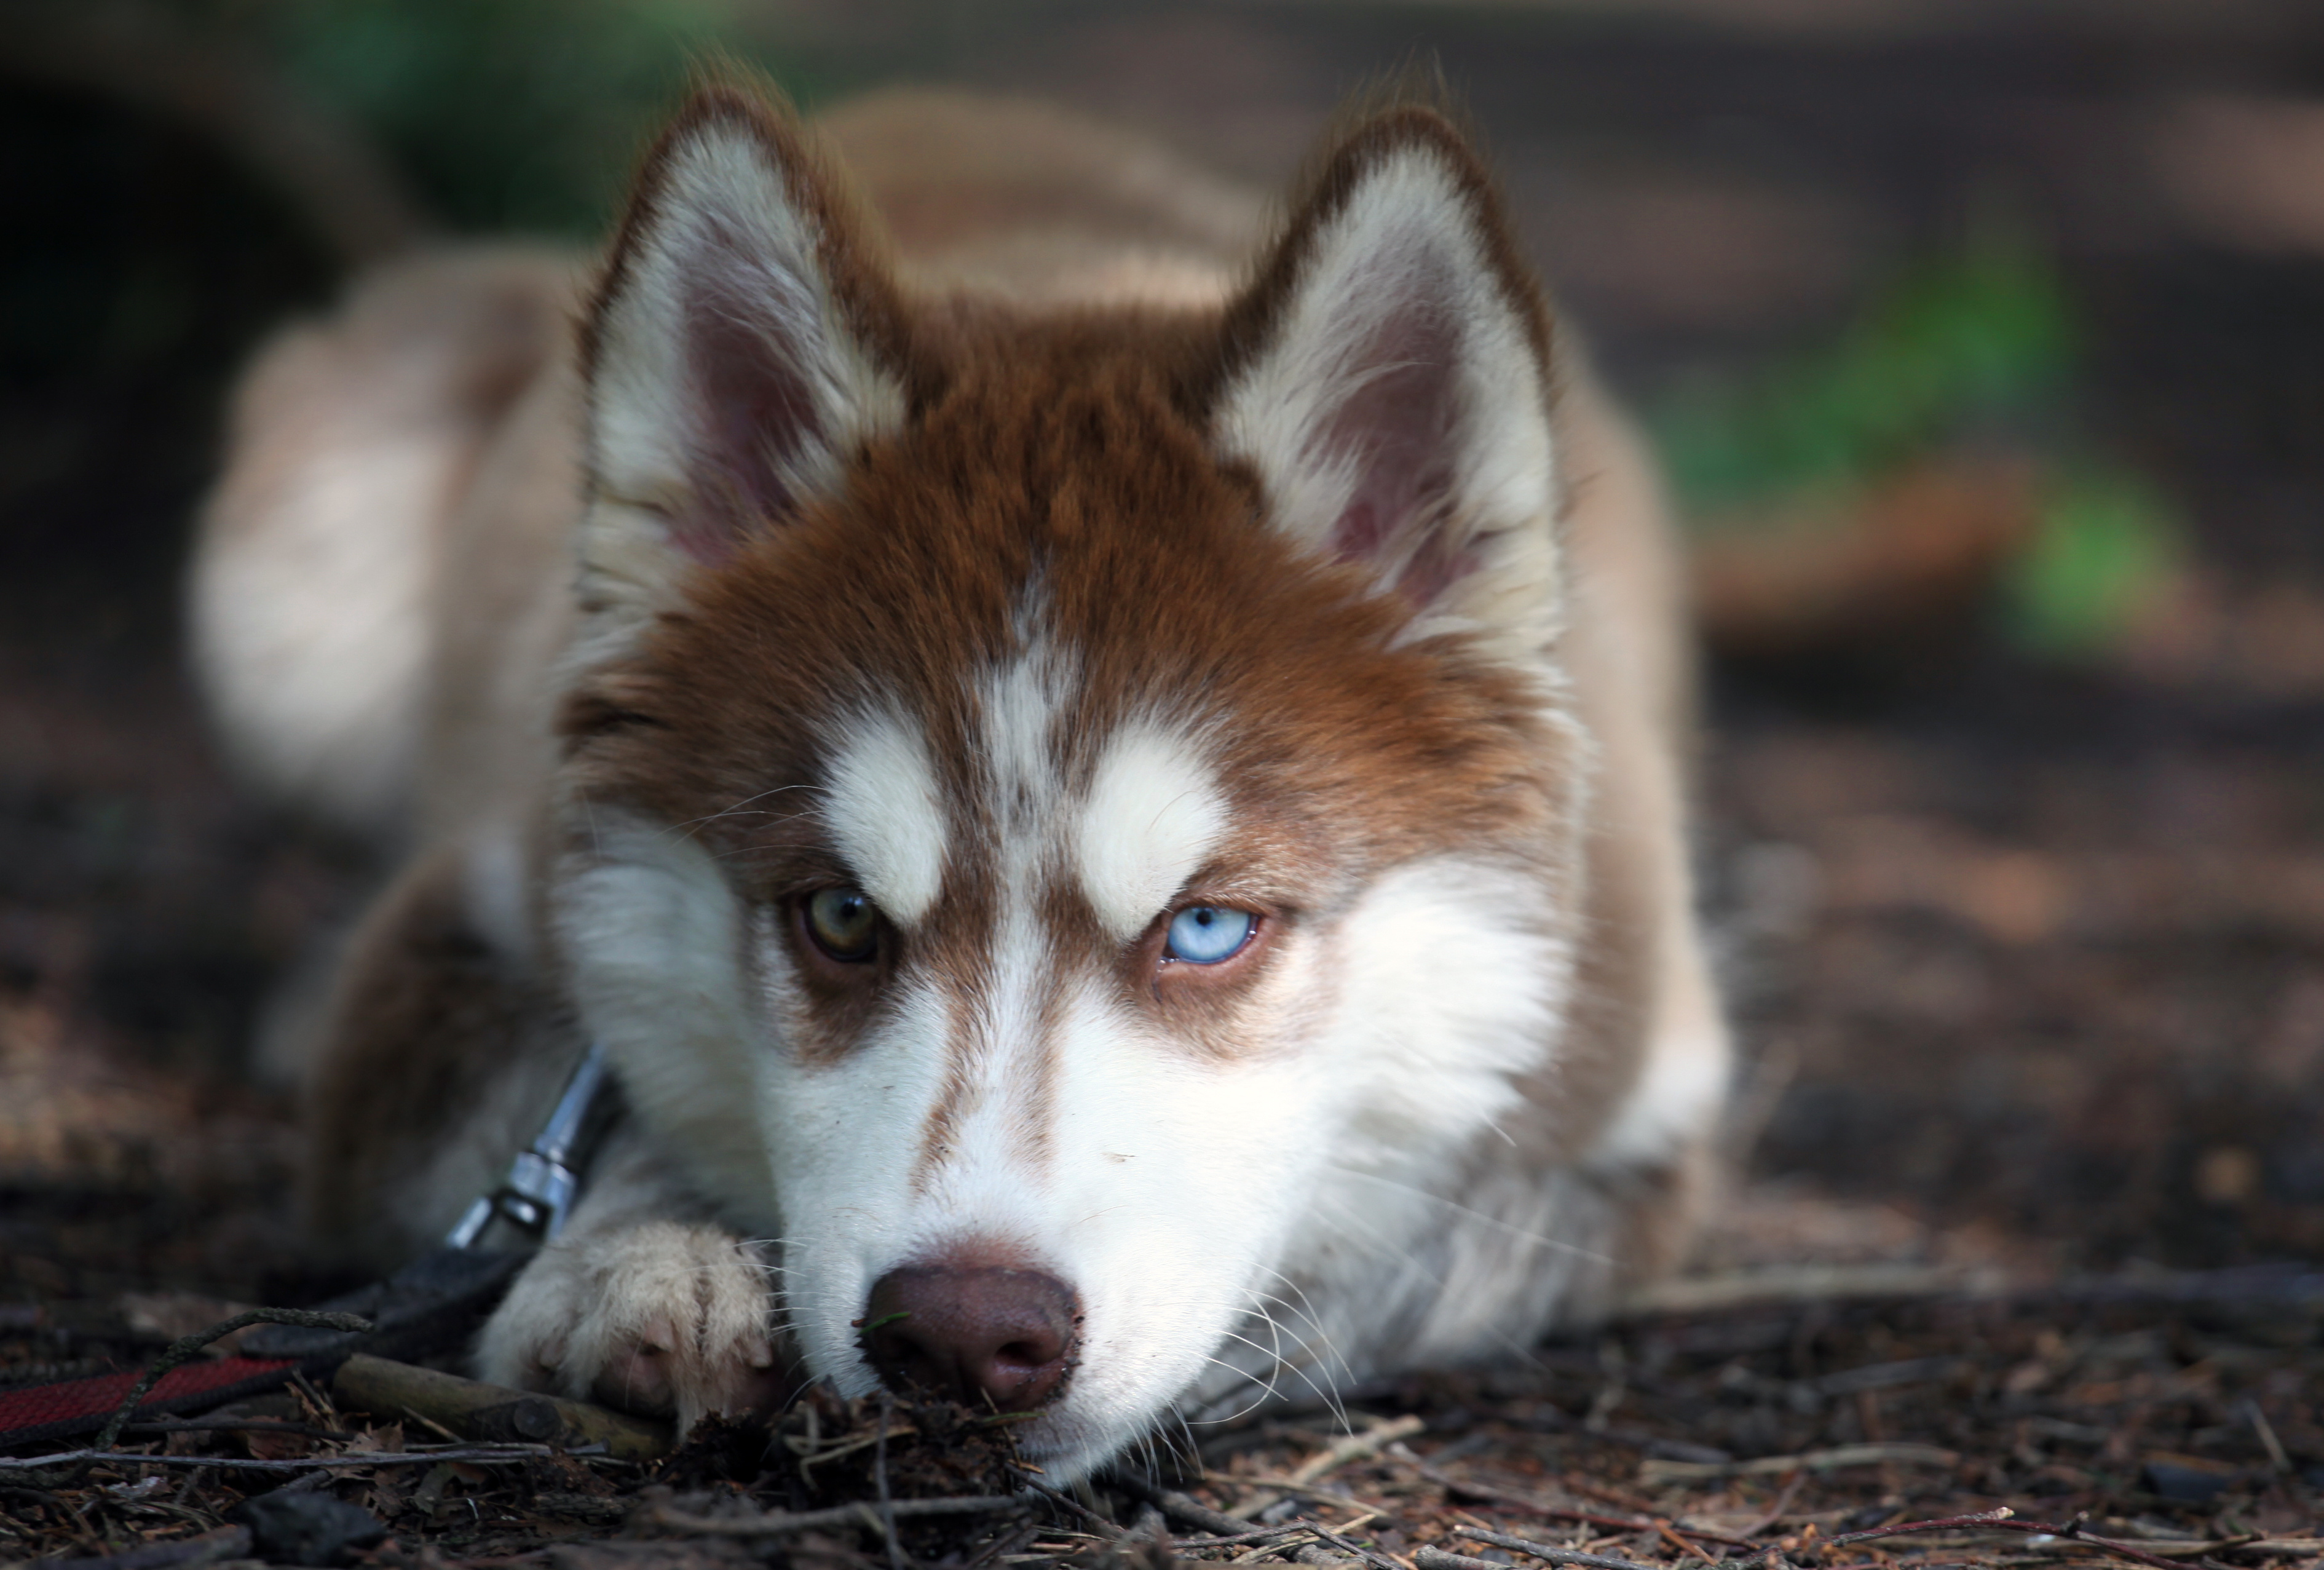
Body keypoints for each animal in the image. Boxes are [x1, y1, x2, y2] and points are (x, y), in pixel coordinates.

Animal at [195, 83, 1729, 1488]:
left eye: (1208, 927)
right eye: (839, 916)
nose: (964, 1333)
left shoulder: (1640, 1098)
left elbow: (1438, 1239)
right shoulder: (464, 940)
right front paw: (641, 1255)